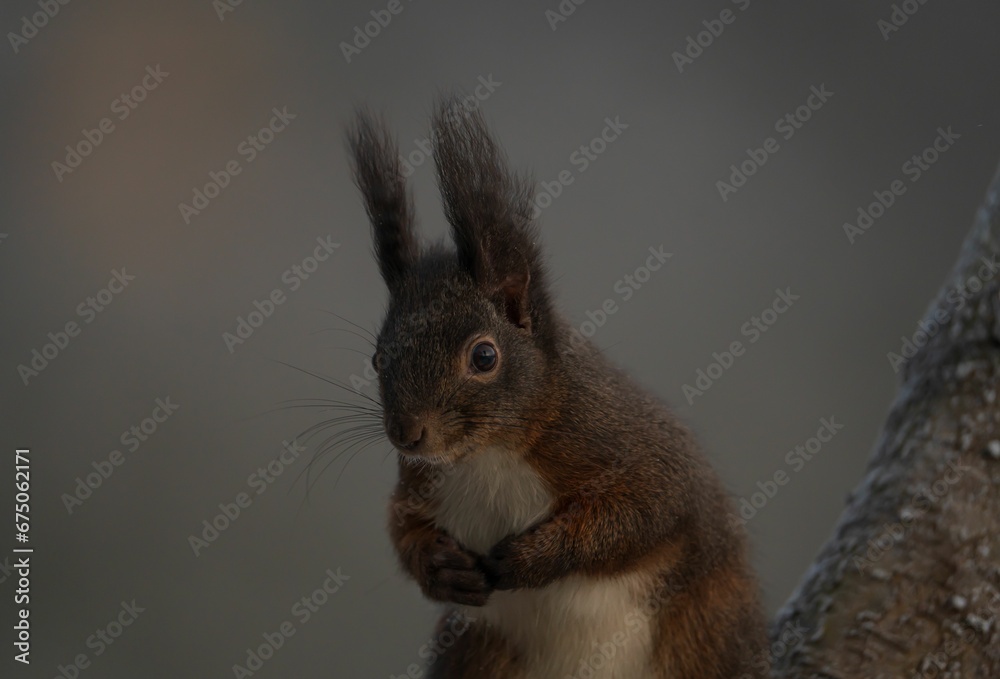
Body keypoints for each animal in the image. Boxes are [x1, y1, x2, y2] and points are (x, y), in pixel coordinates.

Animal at [346, 97, 769, 679]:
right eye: (375, 357)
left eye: (484, 356)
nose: (406, 434)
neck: (489, 454)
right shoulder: (421, 481)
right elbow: (401, 525)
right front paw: (439, 567)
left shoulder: (626, 444)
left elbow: (645, 511)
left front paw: (534, 558)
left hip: (706, 632)